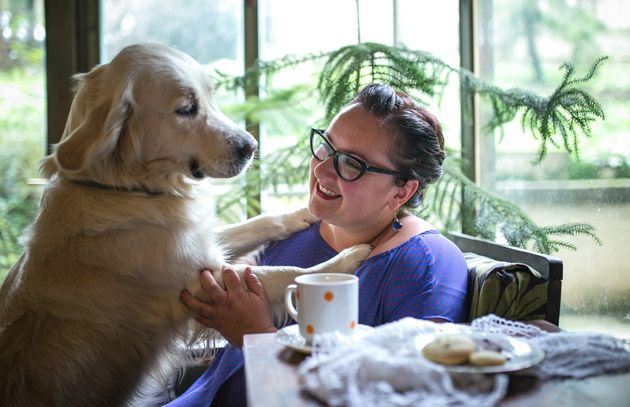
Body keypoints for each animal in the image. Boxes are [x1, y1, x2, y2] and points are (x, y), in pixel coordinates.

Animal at [0, 43, 370, 407]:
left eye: (210, 97)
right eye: (187, 109)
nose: (251, 147)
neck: (126, 189)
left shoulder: (199, 242)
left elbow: (259, 222)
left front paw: (300, 213)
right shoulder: (200, 281)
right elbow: (284, 273)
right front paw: (346, 259)